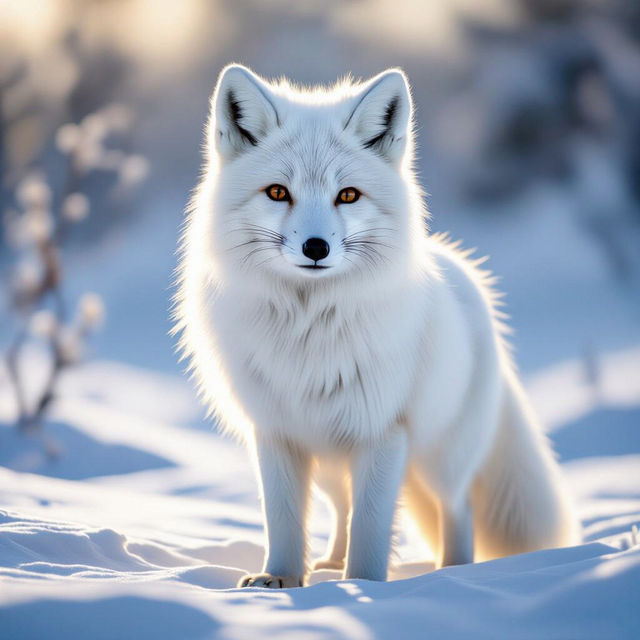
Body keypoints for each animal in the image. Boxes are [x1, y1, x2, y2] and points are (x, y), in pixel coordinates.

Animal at [174, 64, 580, 588]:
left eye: (347, 195)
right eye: (278, 192)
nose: (316, 247)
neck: (308, 332)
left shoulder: (382, 431)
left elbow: (372, 526)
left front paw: (362, 584)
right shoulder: (276, 432)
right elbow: (283, 519)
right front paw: (280, 580)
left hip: (440, 458)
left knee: (456, 506)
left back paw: (450, 571)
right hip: (330, 462)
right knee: (342, 508)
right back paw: (329, 565)